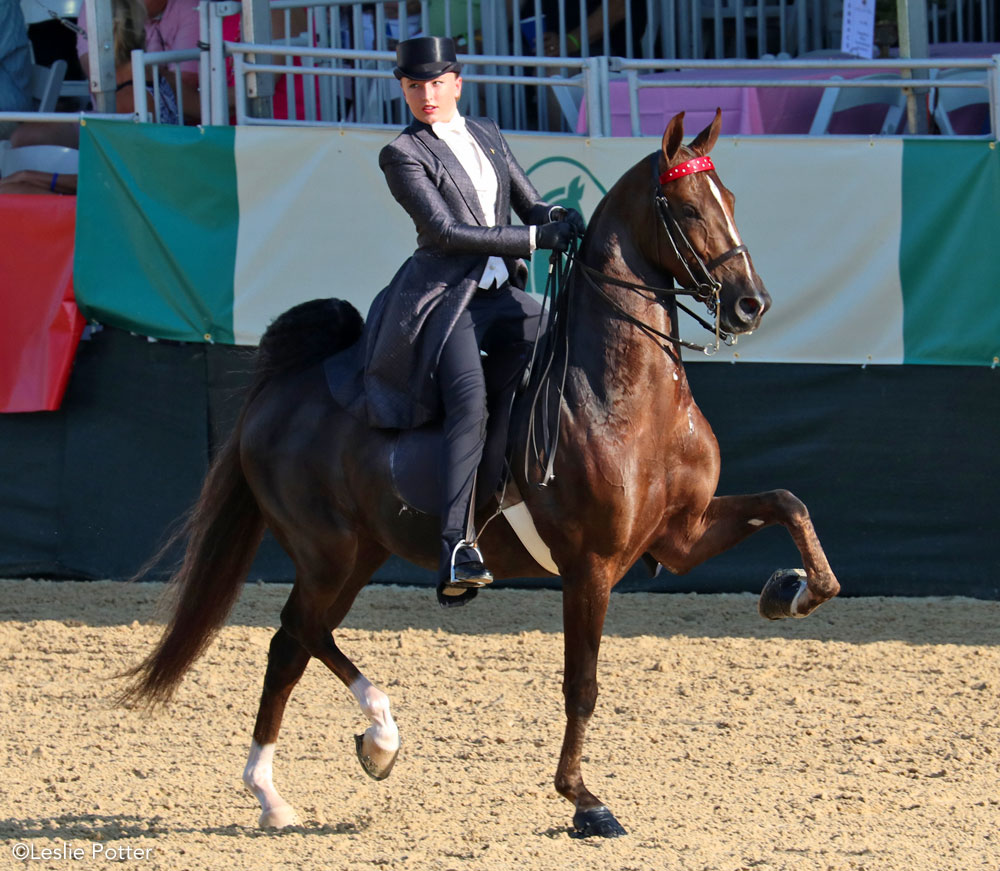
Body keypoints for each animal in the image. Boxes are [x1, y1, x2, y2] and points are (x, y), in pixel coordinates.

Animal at [121, 109, 840, 836]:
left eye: (731, 201)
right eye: (688, 208)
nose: (752, 305)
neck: (629, 398)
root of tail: (281, 391)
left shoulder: (680, 534)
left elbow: (790, 502)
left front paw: (792, 590)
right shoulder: (591, 565)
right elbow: (581, 685)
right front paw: (584, 800)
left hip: (357, 554)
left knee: (294, 641)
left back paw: (305, 777)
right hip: (328, 552)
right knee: (297, 631)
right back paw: (348, 750)